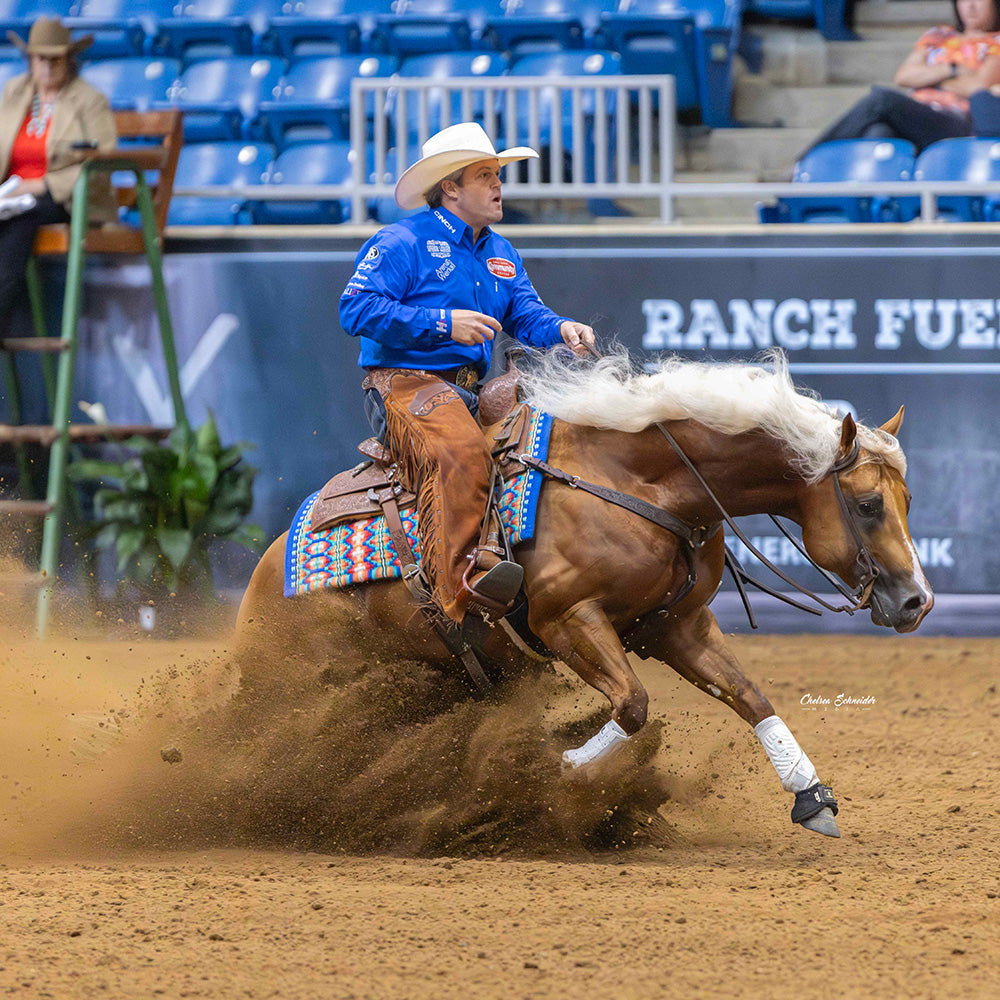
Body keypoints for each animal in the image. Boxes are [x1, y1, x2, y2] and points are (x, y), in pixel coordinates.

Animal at [235, 350, 934, 839]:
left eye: (907, 500)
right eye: (867, 505)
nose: (917, 603)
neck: (635, 480)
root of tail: (266, 578)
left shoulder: (675, 625)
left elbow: (748, 694)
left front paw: (812, 797)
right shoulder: (566, 620)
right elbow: (632, 704)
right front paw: (553, 779)